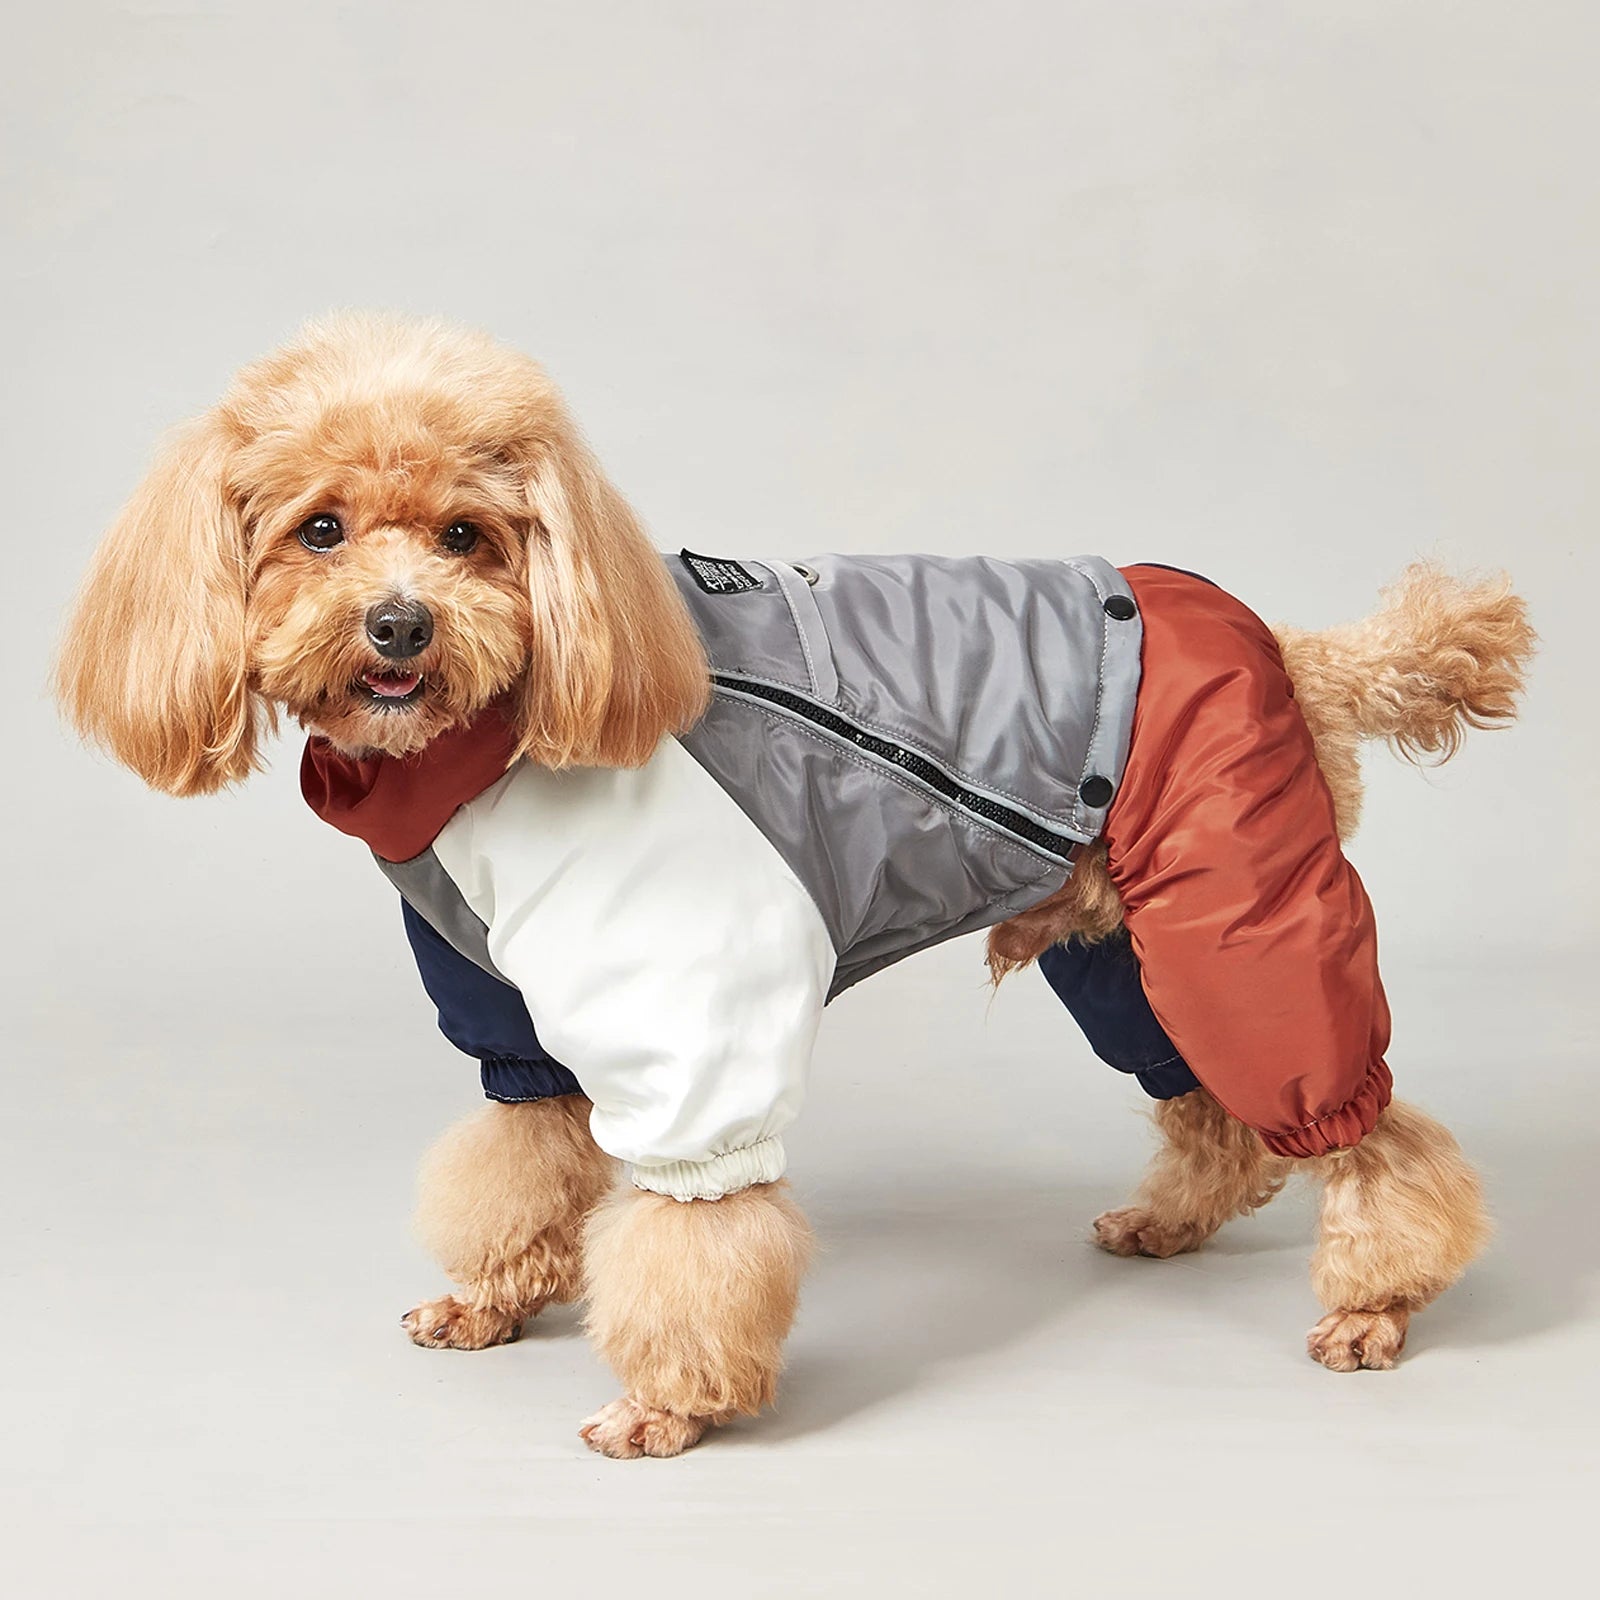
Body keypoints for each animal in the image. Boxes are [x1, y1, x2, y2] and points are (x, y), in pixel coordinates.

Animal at [59, 305, 1536, 1459]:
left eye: (470, 534)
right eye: (318, 530)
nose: (401, 627)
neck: (499, 725)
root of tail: (1285, 644)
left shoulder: (684, 1002)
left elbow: (694, 1221)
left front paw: (670, 1402)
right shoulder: (510, 1014)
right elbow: (519, 1162)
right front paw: (491, 1300)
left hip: (1241, 922)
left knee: (1365, 1128)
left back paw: (1377, 1302)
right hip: (1130, 944)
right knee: (1217, 1115)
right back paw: (1174, 1226)